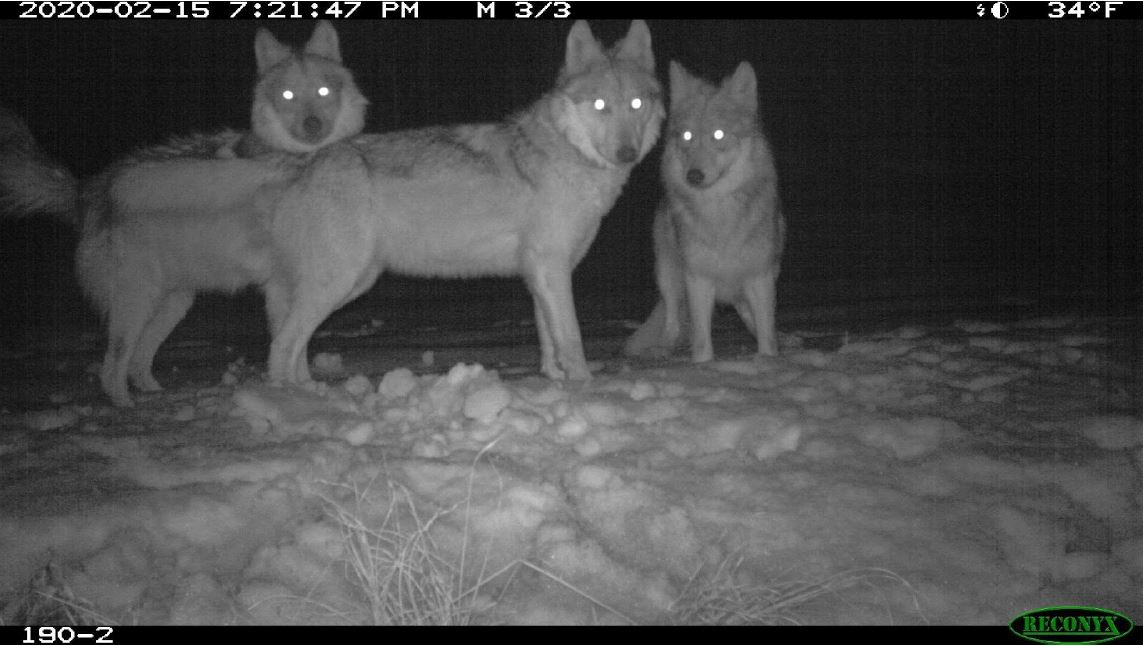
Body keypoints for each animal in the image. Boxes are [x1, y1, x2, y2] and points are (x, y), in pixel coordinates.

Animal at [253, 18, 663, 381]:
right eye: (600, 105)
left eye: (637, 104)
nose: (627, 153)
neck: (567, 153)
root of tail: (304, 164)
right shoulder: (552, 267)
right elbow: (572, 338)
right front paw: (584, 385)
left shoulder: (541, 272)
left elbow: (549, 339)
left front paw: (555, 380)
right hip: (337, 282)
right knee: (283, 345)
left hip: (352, 283)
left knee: (293, 345)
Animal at [626, 59, 787, 363]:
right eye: (687, 136)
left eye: (718, 135)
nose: (694, 176)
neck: (719, 214)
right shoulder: (698, 279)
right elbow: (701, 342)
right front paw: (702, 367)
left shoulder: (759, 276)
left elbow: (766, 334)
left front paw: (768, 359)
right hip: (667, 275)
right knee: (672, 320)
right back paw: (662, 349)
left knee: (752, 316)